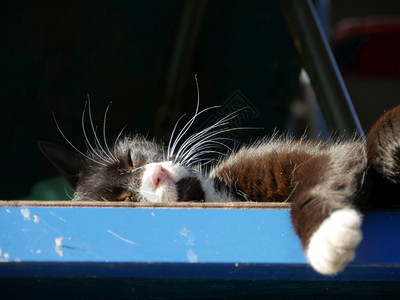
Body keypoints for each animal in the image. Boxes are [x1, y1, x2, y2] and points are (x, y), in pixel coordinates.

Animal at [38, 103, 400, 276]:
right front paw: (329, 239)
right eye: (127, 200)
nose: (156, 177)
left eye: (130, 159)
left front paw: (326, 233)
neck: (217, 195)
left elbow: (333, 162)